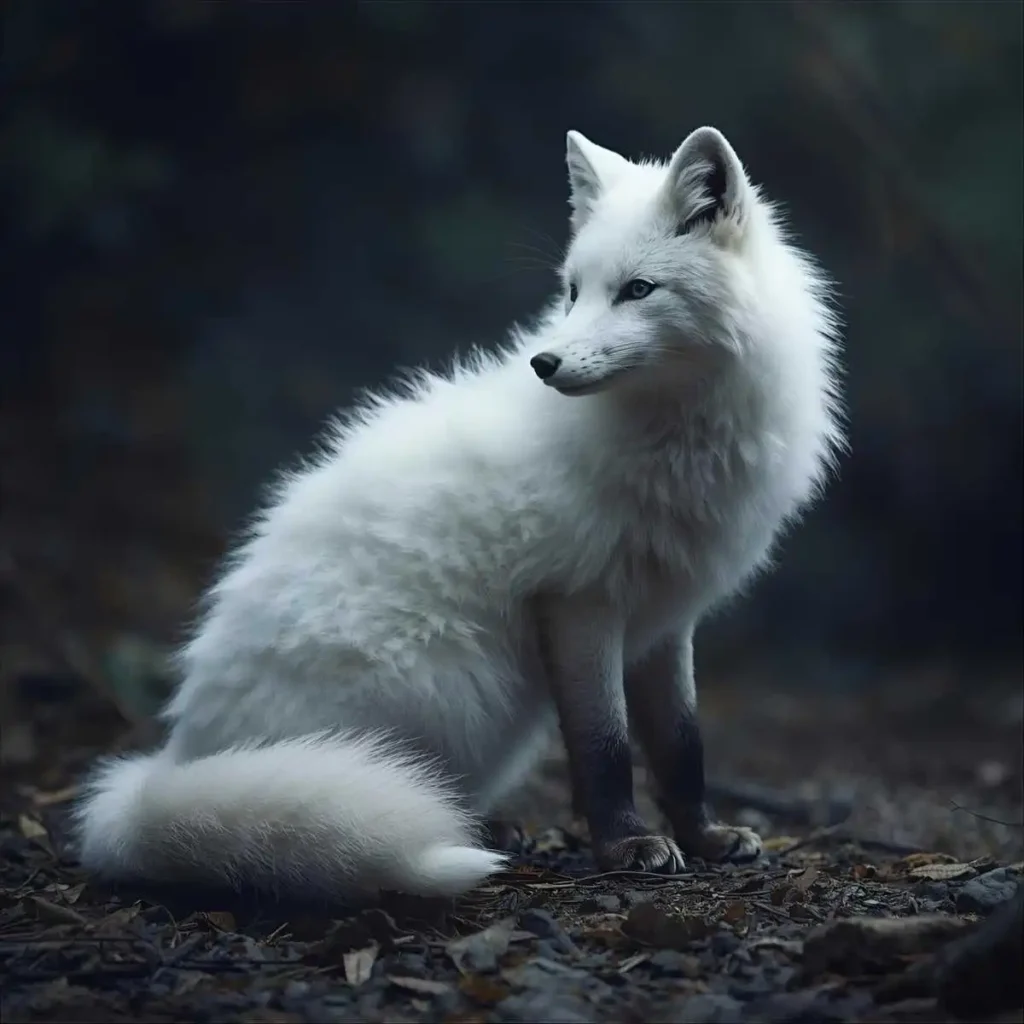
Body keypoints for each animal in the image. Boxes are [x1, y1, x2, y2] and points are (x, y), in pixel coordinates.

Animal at [74, 126, 843, 903]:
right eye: (573, 291)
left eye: (637, 290)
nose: (545, 363)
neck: (681, 444)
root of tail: (176, 760)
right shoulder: (580, 603)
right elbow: (604, 748)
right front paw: (626, 846)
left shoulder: (666, 618)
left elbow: (681, 746)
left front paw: (705, 837)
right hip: (460, 691)